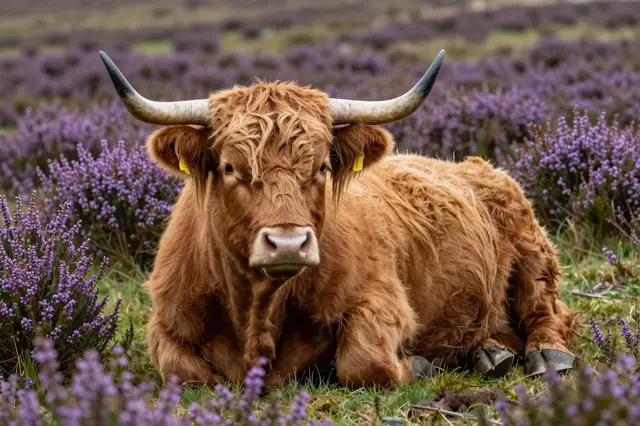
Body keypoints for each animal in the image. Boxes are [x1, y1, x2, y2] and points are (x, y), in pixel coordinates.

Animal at [99, 49, 578, 389]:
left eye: (322, 167)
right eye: (230, 167)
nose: (288, 244)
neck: (259, 313)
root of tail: (477, 165)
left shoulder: (384, 300)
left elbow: (362, 362)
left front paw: (418, 363)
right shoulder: (166, 320)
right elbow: (184, 371)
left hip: (534, 253)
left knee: (548, 312)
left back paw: (543, 355)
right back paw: (490, 353)